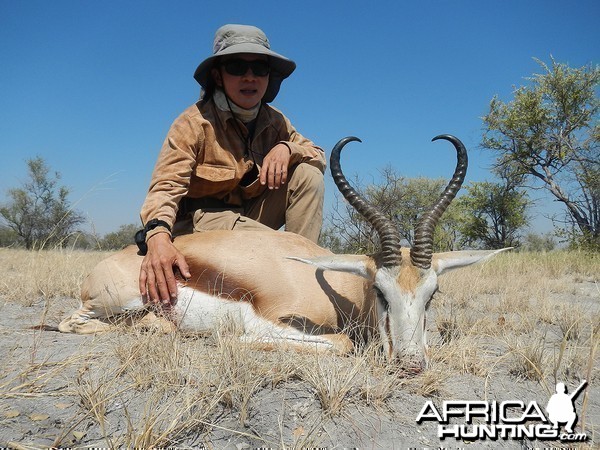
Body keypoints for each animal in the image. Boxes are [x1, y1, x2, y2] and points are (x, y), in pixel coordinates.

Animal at [59, 135, 506, 368]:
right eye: (380, 291)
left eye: (433, 294)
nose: (411, 363)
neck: (335, 286)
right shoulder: (273, 322)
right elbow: (341, 344)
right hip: (117, 303)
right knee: (69, 324)